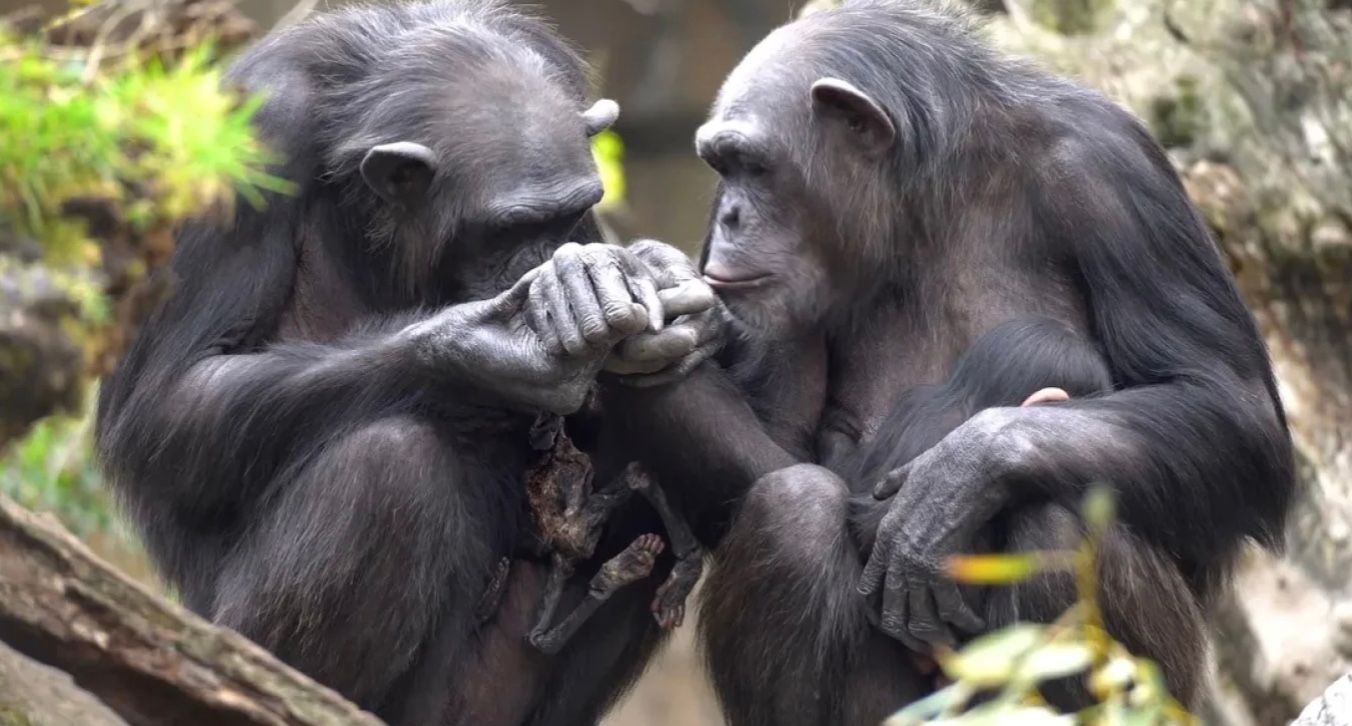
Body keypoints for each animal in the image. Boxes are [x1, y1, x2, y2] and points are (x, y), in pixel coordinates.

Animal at [96, 2, 724, 719]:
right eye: (509, 230)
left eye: (568, 215)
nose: (545, 260)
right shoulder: (250, 138)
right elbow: (170, 399)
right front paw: (486, 349)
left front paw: (672, 286)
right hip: (225, 628)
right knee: (391, 468)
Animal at [597, 1, 1292, 719]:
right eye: (723, 166)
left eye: (754, 165)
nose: (731, 215)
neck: (923, 196)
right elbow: (780, 453)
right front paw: (638, 306)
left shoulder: (1116, 174)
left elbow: (1224, 403)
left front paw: (961, 474)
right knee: (792, 511)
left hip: (1166, 692)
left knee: (1055, 515)